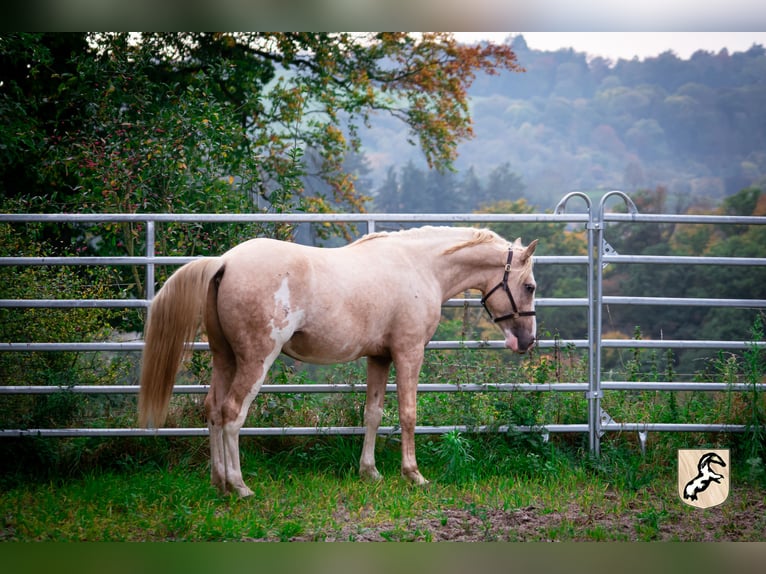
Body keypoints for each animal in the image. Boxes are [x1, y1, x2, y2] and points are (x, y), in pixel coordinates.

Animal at [138, 226, 538, 497]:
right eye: (530, 286)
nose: (527, 341)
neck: (419, 266)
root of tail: (224, 262)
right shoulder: (409, 353)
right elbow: (408, 414)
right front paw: (413, 474)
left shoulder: (379, 357)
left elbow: (373, 414)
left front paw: (370, 472)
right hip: (255, 360)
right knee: (233, 413)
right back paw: (239, 486)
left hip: (225, 358)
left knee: (213, 409)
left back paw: (218, 482)